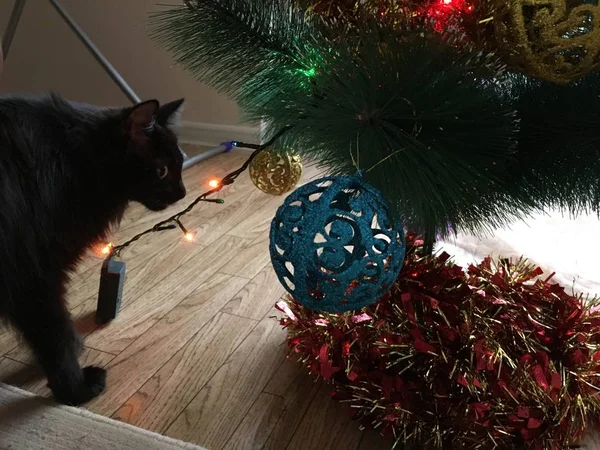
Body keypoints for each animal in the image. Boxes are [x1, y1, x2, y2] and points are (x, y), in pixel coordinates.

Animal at [0, 94, 185, 404]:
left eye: (181, 164)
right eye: (162, 171)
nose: (183, 193)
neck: (72, 162)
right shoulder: (35, 276)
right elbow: (56, 338)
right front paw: (74, 390)